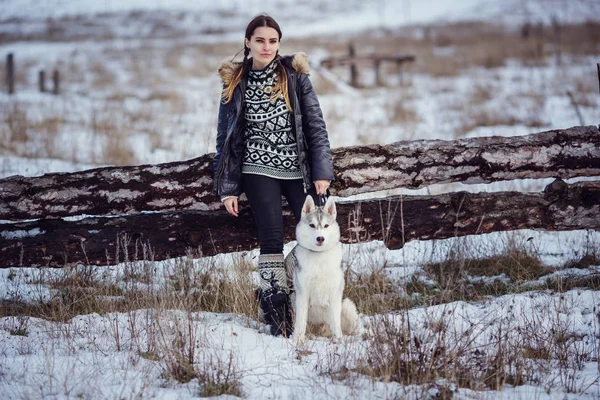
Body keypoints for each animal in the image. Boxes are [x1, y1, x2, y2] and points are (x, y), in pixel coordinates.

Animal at [290, 195, 358, 346]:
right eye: (312, 225)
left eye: (326, 226)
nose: (320, 238)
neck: (319, 256)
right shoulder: (302, 294)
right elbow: (301, 322)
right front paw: (298, 341)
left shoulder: (334, 294)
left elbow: (335, 322)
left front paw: (338, 340)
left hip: (347, 304)